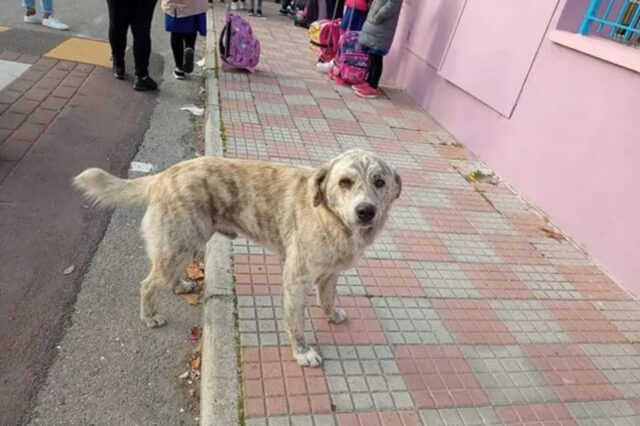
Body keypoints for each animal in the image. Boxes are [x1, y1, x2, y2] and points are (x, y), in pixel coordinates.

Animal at [74, 149, 400, 366]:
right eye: (345, 182)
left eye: (379, 182)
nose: (366, 211)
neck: (331, 218)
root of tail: (163, 175)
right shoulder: (296, 282)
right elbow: (296, 324)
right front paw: (302, 352)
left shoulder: (330, 274)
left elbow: (328, 299)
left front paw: (331, 316)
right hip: (180, 243)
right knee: (147, 284)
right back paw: (149, 315)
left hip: (185, 244)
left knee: (166, 275)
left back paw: (180, 285)